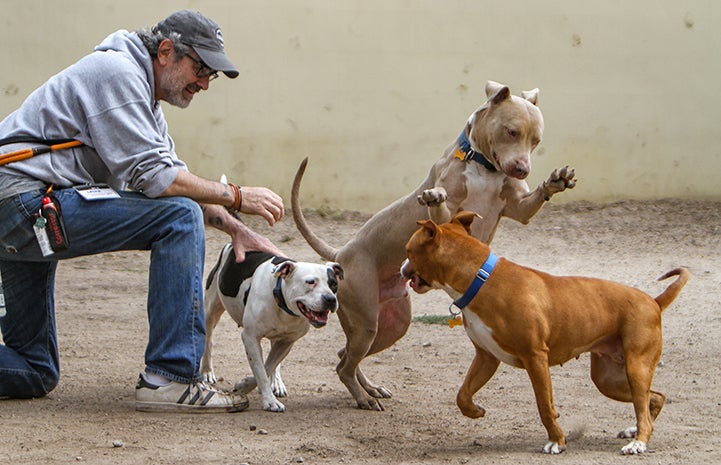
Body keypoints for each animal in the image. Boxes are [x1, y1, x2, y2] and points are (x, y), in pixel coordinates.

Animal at [290, 80, 576, 410]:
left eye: (536, 141)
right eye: (511, 131)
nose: (522, 168)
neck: (484, 167)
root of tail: (341, 253)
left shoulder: (519, 209)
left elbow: (531, 201)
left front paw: (557, 181)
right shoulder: (451, 212)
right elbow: (441, 207)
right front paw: (435, 198)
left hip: (391, 326)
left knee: (345, 356)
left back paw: (370, 389)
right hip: (366, 322)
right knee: (344, 365)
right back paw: (364, 398)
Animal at [402, 212, 688, 454]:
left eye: (408, 251)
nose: (402, 267)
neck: (479, 280)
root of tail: (653, 302)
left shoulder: (535, 358)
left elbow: (544, 405)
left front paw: (556, 441)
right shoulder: (486, 357)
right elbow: (462, 394)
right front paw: (474, 411)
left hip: (635, 369)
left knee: (644, 406)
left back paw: (638, 442)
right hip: (609, 379)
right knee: (654, 398)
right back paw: (634, 431)